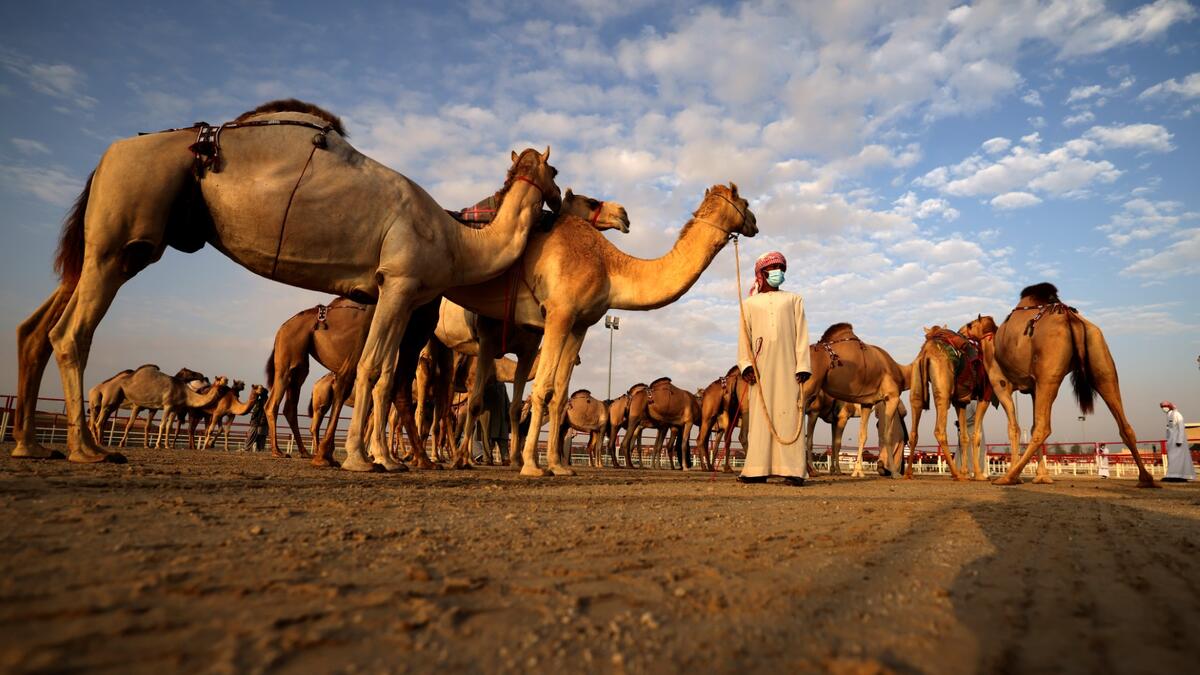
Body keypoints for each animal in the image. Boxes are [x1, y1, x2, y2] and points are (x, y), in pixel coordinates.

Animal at [12, 98, 560, 469]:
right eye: (553, 168)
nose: (559, 198)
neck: (456, 238)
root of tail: (109, 155)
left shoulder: (399, 295)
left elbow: (382, 374)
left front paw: (379, 457)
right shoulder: (401, 281)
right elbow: (374, 371)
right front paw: (363, 458)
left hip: (109, 247)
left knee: (34, 328)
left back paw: (30, 444)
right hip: (122, 232)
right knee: (71, 332)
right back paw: (86, 449)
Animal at [446, 184, 757, 477]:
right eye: (745, 202)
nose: (754, 222)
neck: (607, 266)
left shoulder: (579, 323)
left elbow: (559, 394)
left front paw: (558, 466)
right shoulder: (558, 312)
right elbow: (542, 388)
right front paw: (533, 465)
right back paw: (456, 459)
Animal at [805, 324, 911, 479]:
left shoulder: (837, 419)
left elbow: (838, 442)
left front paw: (840, 470)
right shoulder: (841, 416)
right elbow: (837, 443)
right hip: (811, 406)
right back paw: (811, 471)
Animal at [908, 325, 997, 481]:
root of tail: (926, 352)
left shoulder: (960, 402)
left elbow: (964, 436)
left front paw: (966, 472)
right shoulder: (984, 396)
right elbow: (976, 436)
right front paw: (979, 475)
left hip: (917, 384)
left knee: (914, 426)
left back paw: (908, 474)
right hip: (943, 391)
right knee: (939, 430)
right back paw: (956, 474)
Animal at [960, 283, 1156, 487]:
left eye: (970, 324)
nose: (960, 331)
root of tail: (1070, 318)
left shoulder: (1001, 385)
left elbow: (1014, 428)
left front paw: (1021, 475)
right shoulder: (1033, 388)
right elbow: (1029, 426)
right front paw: (1041, 476)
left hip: (1048, 373)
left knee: (1043, 427)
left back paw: (1008, 476)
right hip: (1100, 358)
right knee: (1124, 423)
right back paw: (1146, 479)